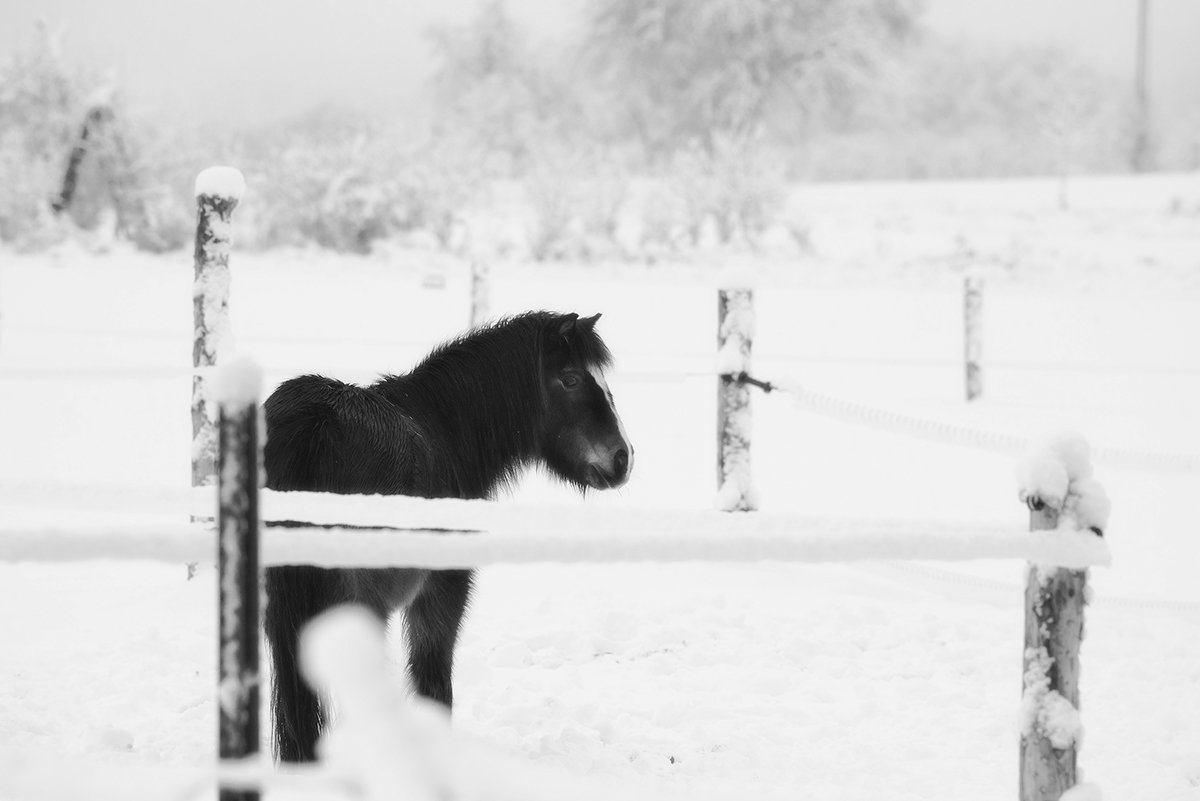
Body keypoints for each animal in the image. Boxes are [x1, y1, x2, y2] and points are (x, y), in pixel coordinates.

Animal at [264, 309, 638, 762]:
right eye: (571, 379)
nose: (622, 458)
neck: (443, 433)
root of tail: (312, 425)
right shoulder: (441, 594)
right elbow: (435, 686)